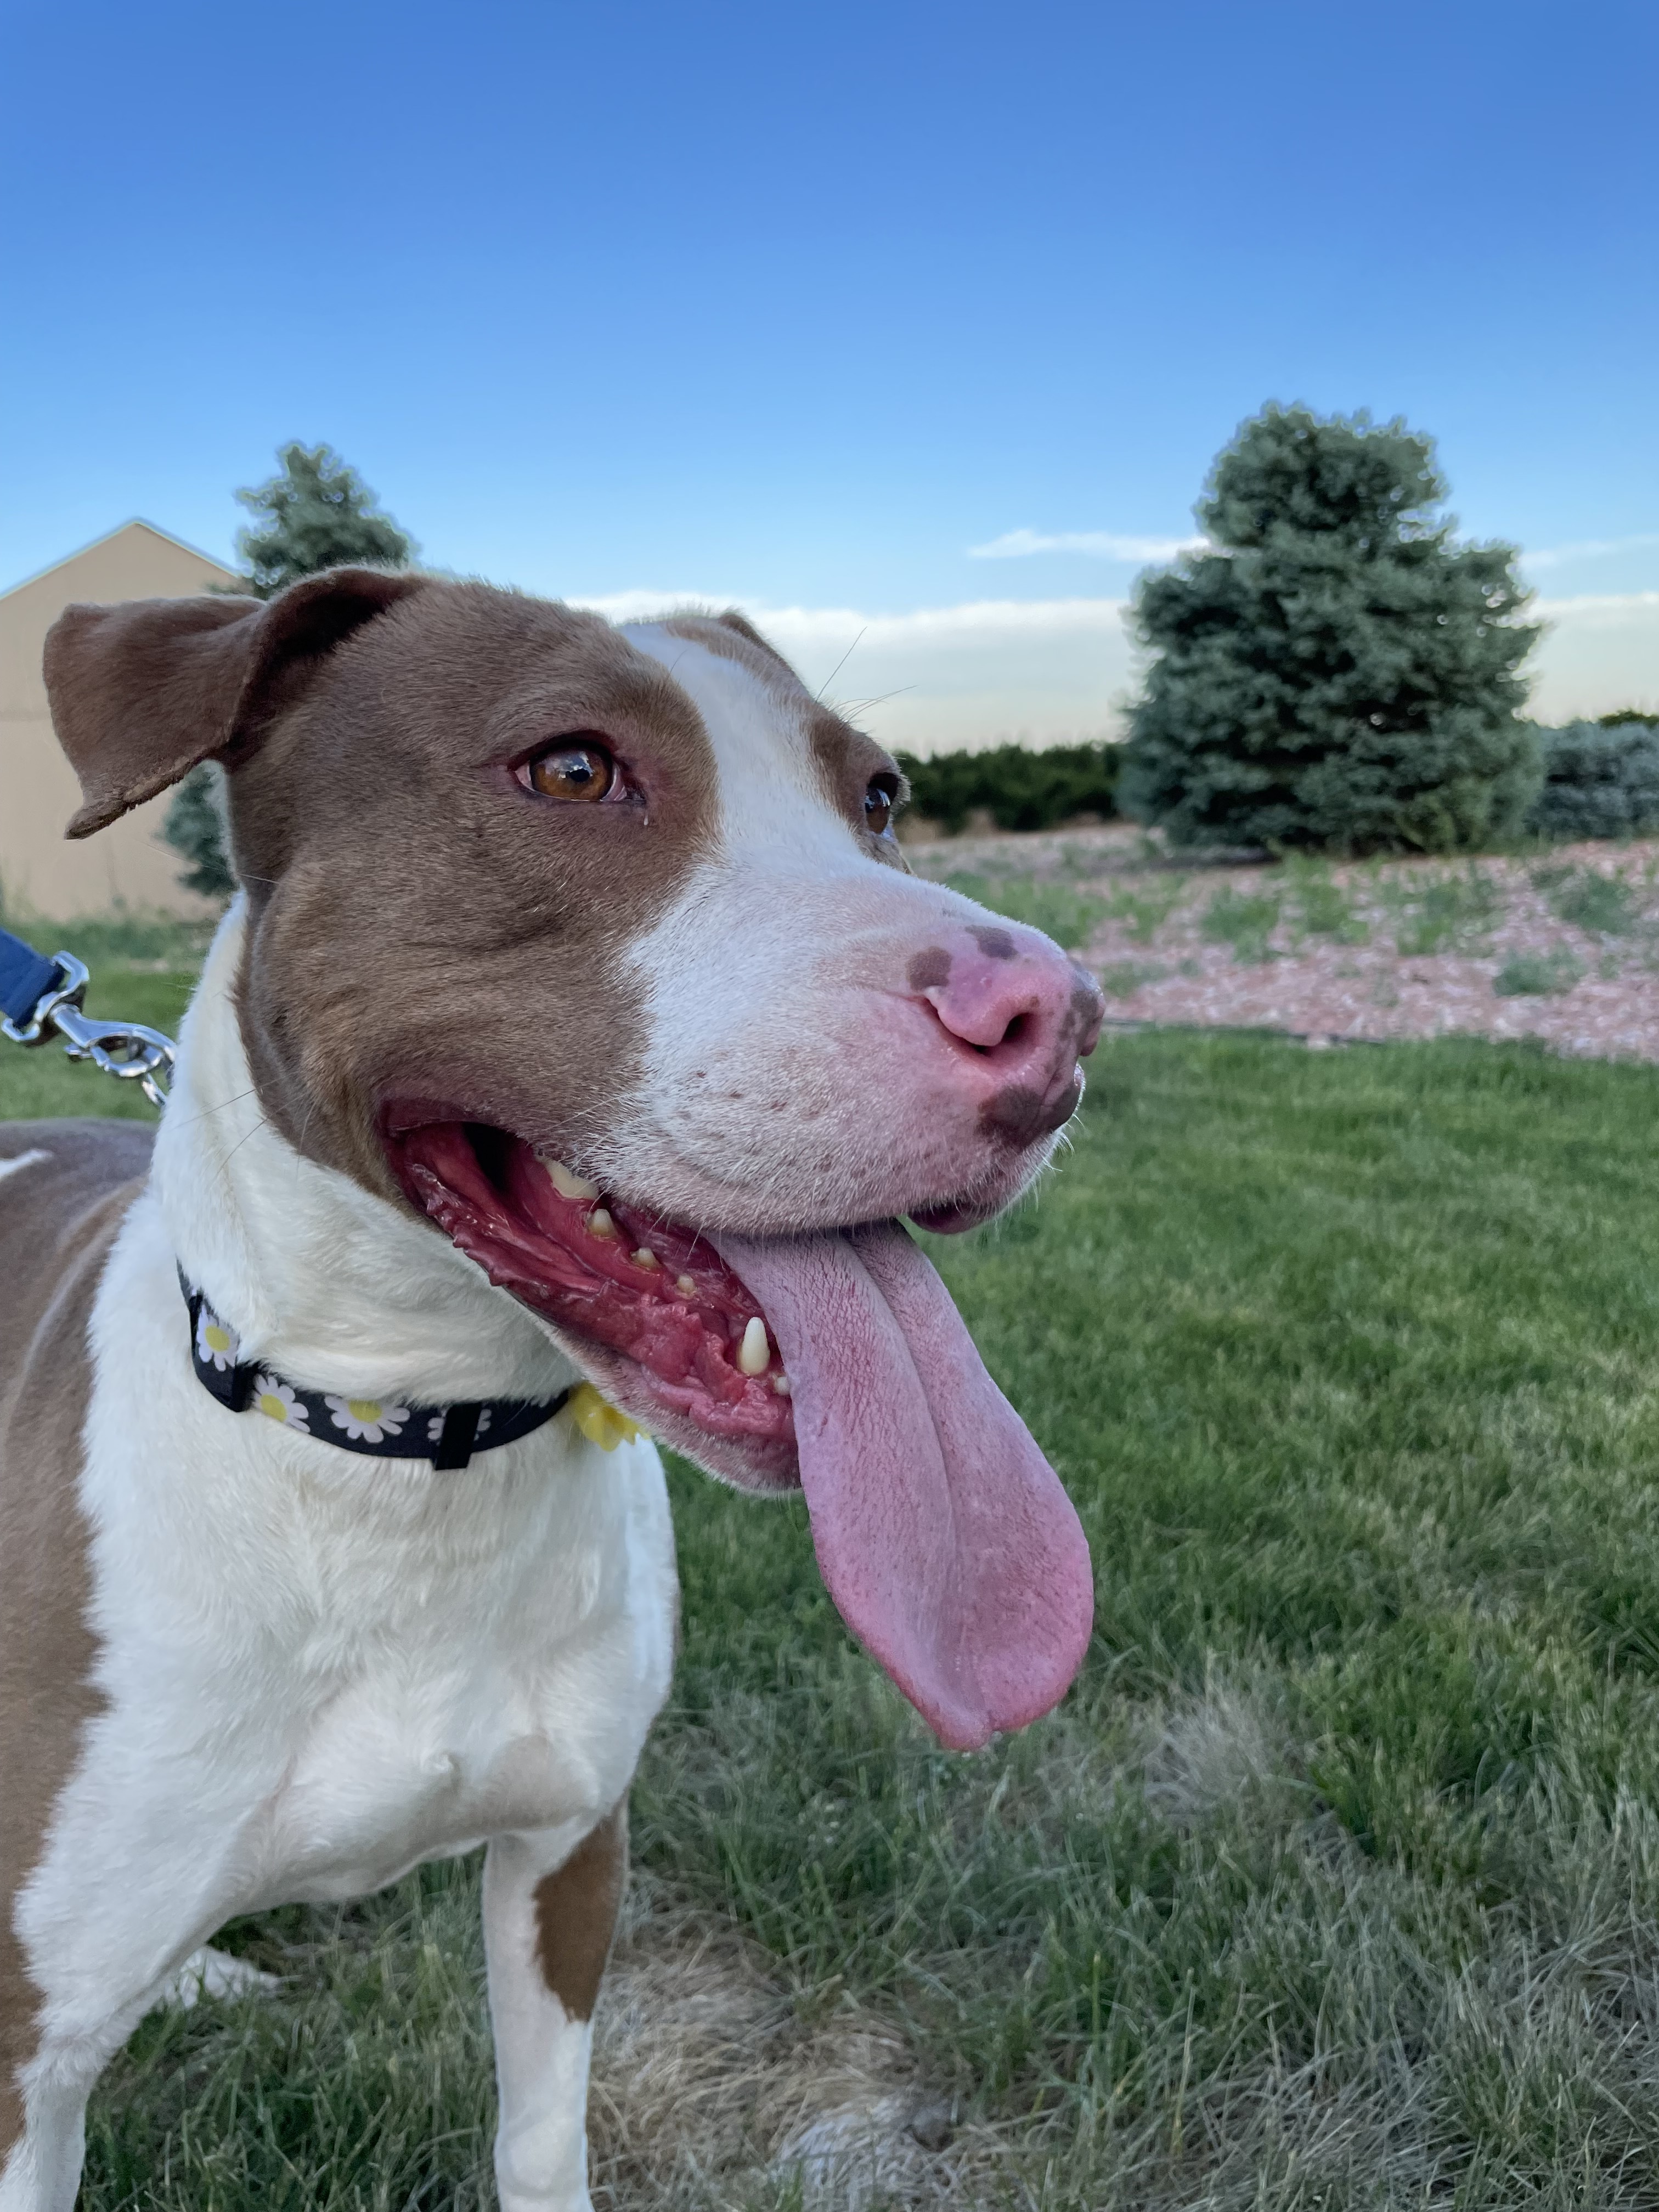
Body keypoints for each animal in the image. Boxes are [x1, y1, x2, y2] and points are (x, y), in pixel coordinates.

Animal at [3, 575, 1106, 2212]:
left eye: (879, 800)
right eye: (572, 772)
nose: (1056, 1014)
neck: (400, 1448)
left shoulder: (570, 1856)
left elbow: (538, 2137)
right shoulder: (22, 2067)